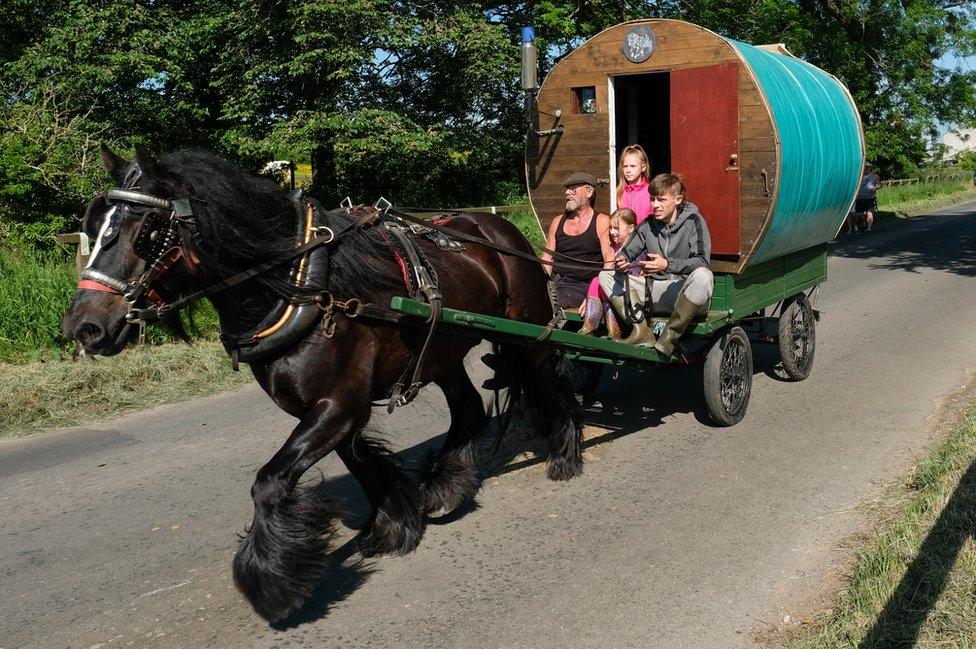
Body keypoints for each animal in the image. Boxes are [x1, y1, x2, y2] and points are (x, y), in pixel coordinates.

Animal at [65, 144, 584, 620]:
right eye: (95, 228)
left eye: (148, 231)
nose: (82, 327)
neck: (304, 286)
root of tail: (498, 230)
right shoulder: (328, 409)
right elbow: (363, 465)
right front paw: (394, 525)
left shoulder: (339, 406)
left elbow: (269, 482)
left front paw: (272, 582)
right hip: (440, 351)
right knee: (469, 408)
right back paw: (447, 486)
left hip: (532, 332)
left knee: (550, 382)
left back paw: (564, 454)